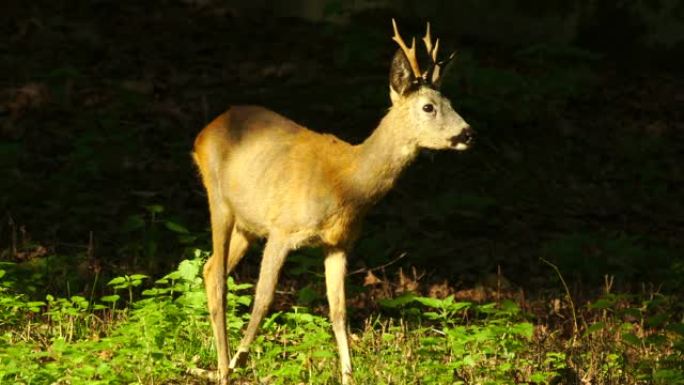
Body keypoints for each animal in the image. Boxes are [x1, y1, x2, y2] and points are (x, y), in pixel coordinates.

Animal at [192, 19, 470, 382]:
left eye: (450, 101)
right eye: (428, 107)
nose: (468, 133)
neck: (347, 184)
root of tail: (204, 132)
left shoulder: (338, 243)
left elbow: (339, 311)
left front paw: (348, 375)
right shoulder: (282, 230)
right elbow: (264, 299)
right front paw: (240, 359)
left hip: (247, 224)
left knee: (211, 268)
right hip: (219, 200)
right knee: (219, 278)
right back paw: (223, 369)